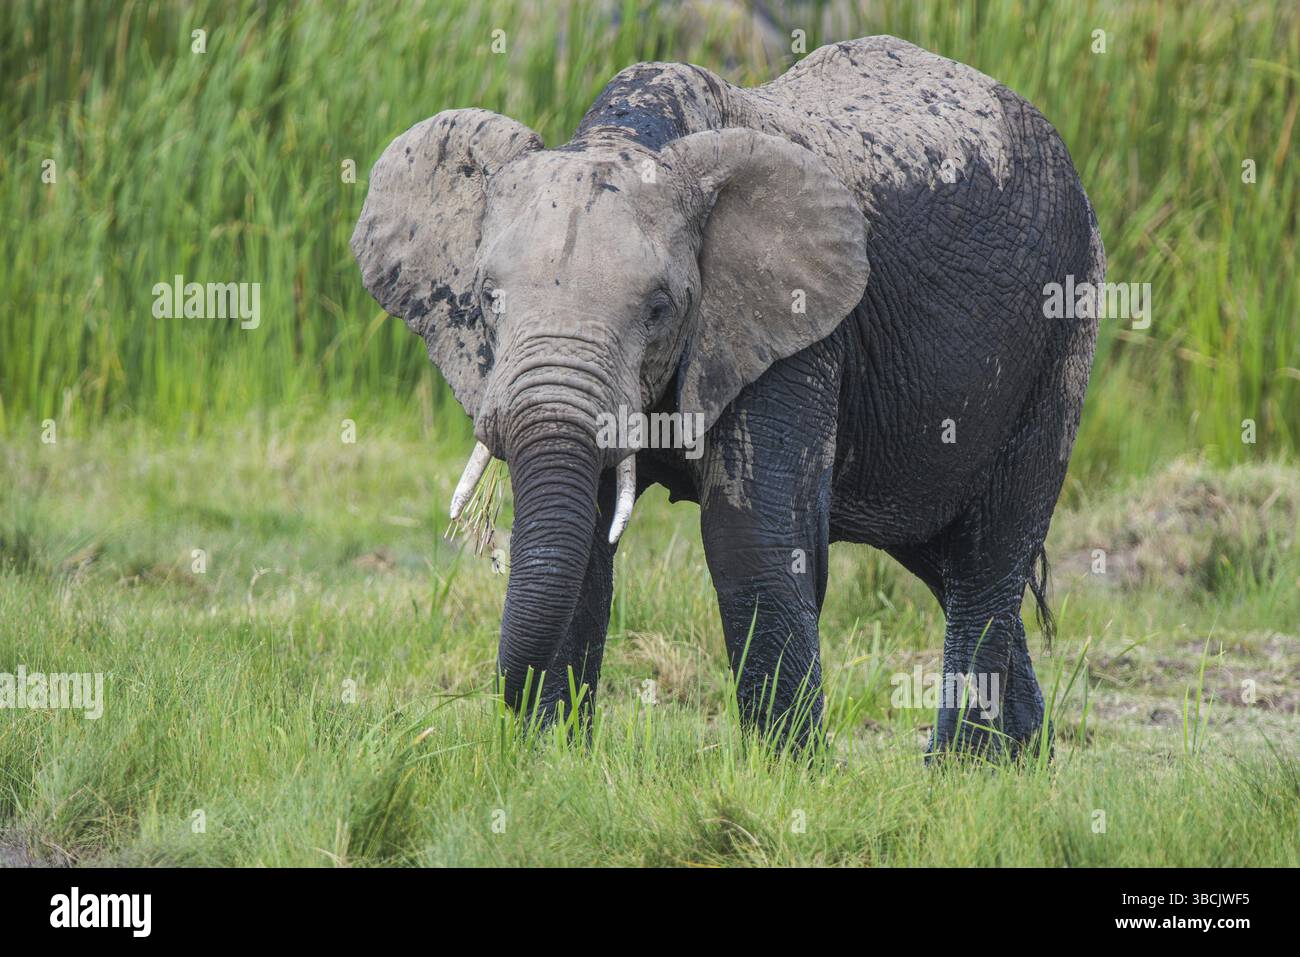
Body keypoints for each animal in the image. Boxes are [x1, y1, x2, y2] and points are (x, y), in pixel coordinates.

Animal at [350, 36, 1105, 756]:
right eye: (486, 299)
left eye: (659, 308)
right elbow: (583, 544)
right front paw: (548, 758)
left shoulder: (793, 330)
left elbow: (752, 539)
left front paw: (788, 773)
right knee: (942, 555)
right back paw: (1018, 766)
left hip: (1065, 317)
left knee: (987, 556)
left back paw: (957, 769)